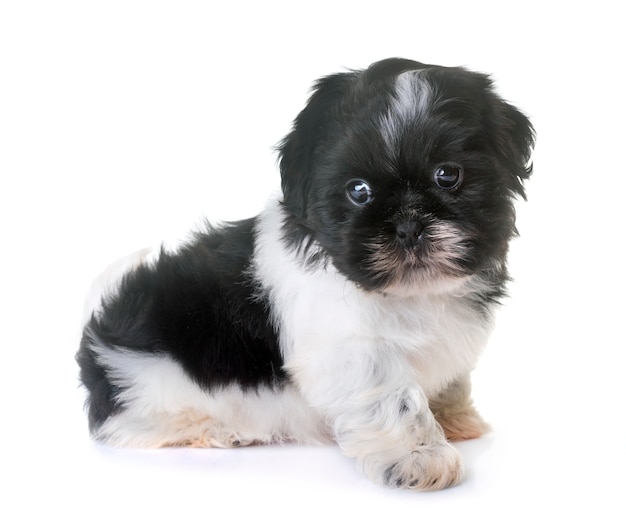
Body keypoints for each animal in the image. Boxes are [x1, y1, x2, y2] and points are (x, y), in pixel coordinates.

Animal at [77, 58, 532, 490]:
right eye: (358, 190)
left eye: (448, 174)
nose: (408, 226)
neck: (413, 292)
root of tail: (98, 331)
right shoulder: (350, 349)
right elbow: (395, 399)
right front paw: (420, 457)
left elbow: (451, 380)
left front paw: (456, 418)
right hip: (155, 384)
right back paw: (217, 431)